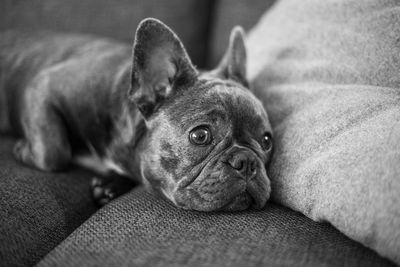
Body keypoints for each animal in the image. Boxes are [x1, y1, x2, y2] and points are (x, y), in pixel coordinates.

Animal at [0, 18, 272, 211]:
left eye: (267, 141)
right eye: (200, 136)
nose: (246, 161)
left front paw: (109, 184)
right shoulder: (42, 85)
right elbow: (55, 152)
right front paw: (23, 149)